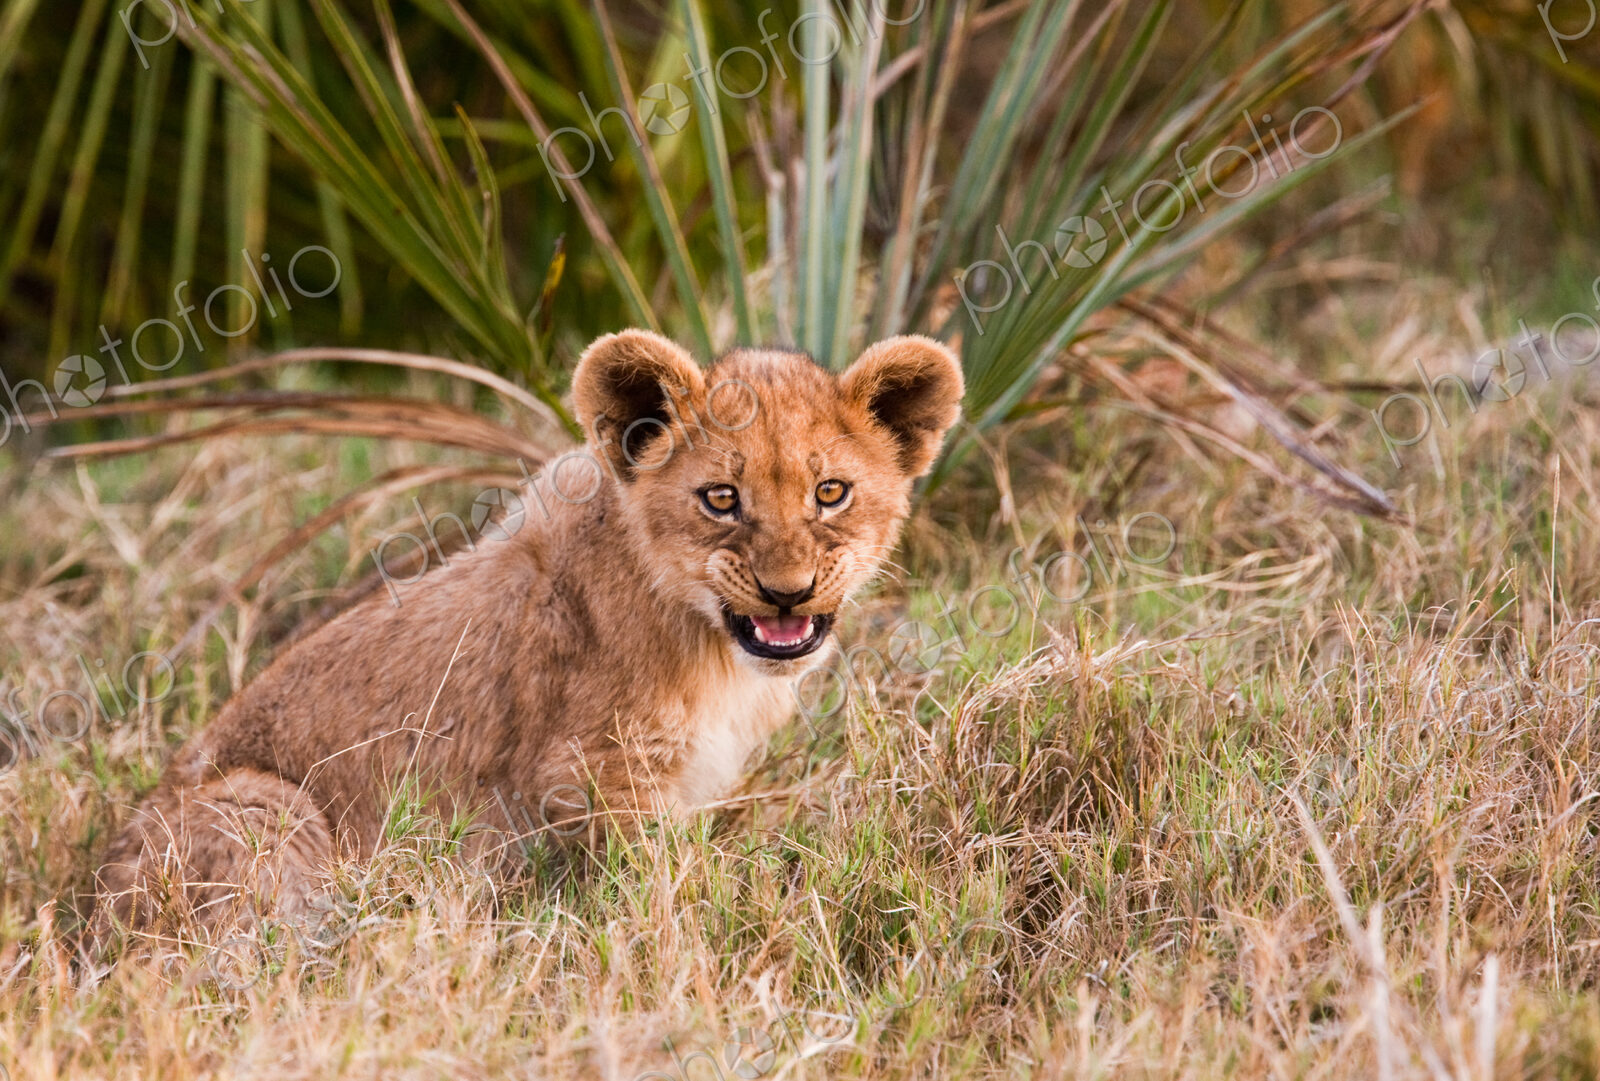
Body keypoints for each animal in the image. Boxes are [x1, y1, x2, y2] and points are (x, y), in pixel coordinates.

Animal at [90, 330, 964, 942]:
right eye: (721, 497)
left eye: (830, 492)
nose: (789, 591)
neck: (709, 644)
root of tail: (92, 910)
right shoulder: (591, 773)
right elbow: (658, 887)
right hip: (262, 805)